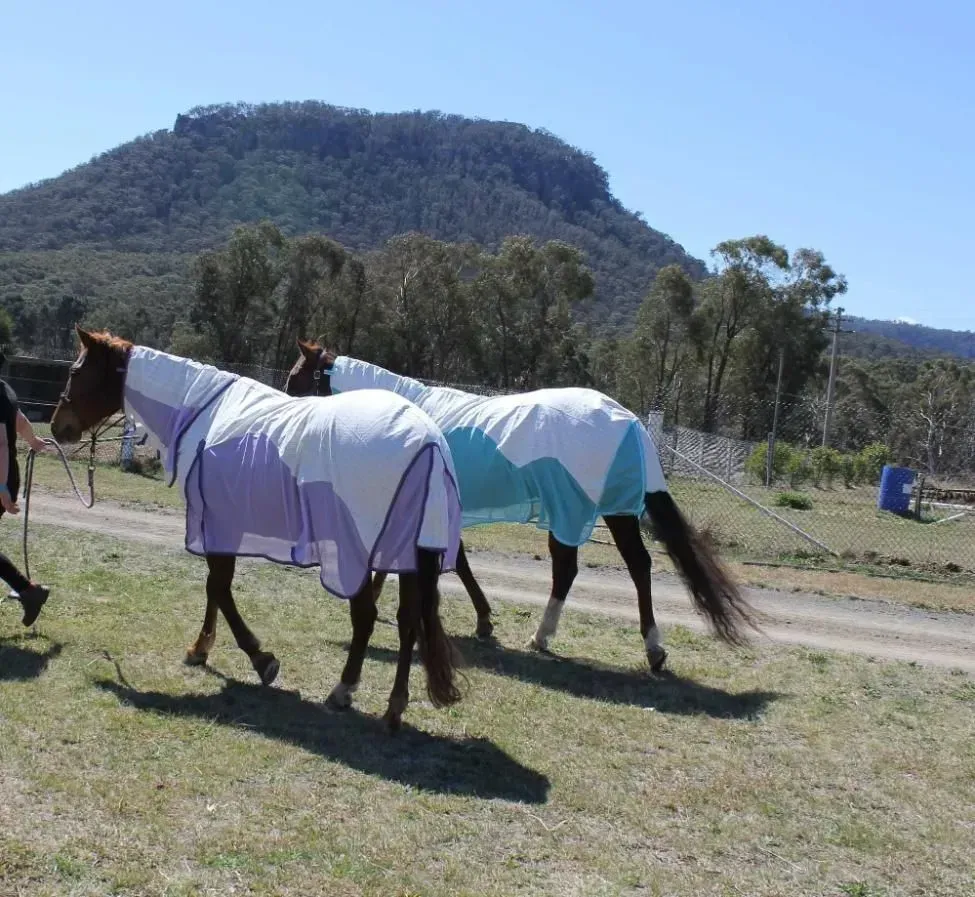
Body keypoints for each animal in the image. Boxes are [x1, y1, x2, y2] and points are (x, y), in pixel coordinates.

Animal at [50, 328, 464, 730]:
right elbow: (215, 588)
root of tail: (427, 440)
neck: (204, 414)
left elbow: (218, 587)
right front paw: (201, 650)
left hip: (356, 552)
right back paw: (394, 706)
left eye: (76, 372)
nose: (57, 426)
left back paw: (343, 690)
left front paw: (260, 659)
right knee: (408, 621)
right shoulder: (220, 526)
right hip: (406, 555)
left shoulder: (216, 522)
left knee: (366, 615)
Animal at [285, 341, 757, 670]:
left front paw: (476, 619)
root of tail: (630, 420)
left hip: (599, 511)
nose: (288, 424)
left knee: (624, 567)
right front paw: (478, 620)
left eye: (297, 377)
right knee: (582, 569)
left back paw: (637, 646)